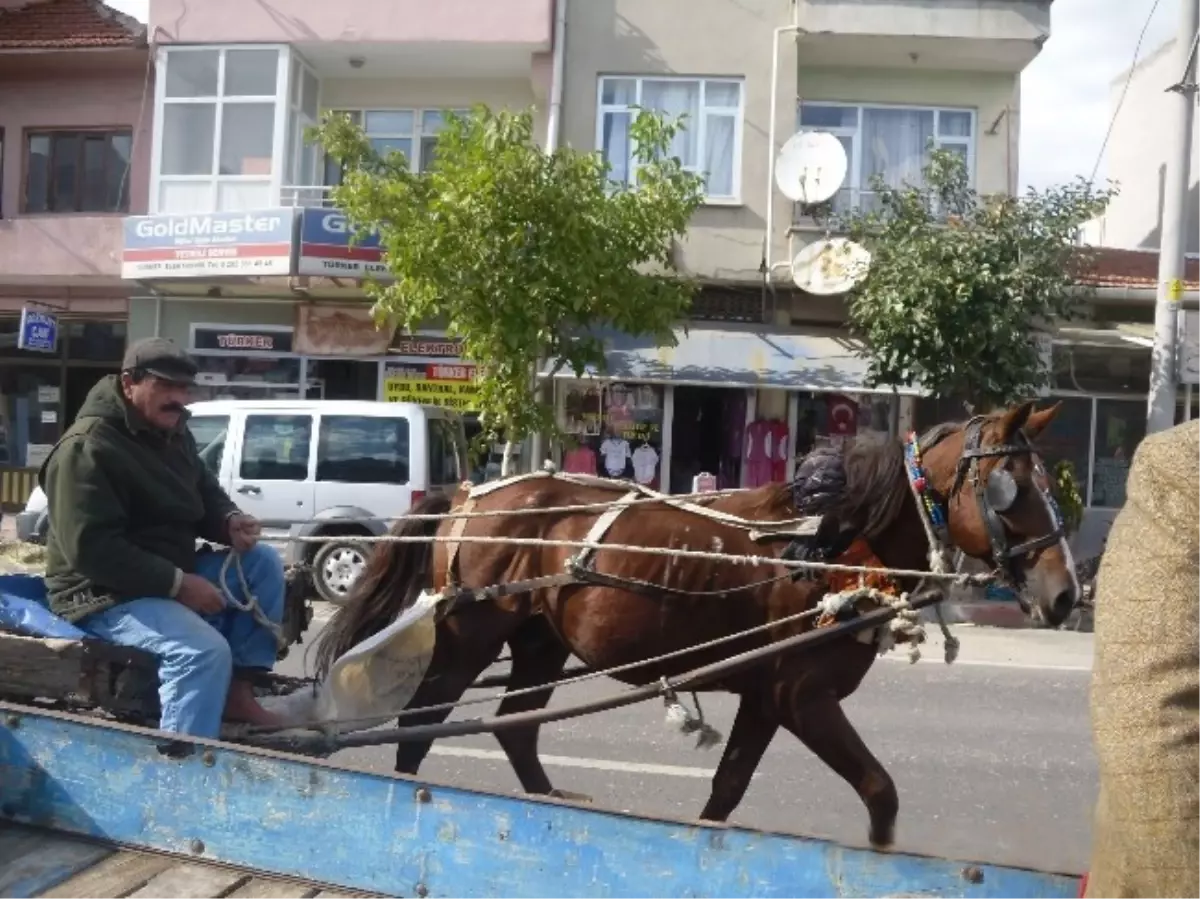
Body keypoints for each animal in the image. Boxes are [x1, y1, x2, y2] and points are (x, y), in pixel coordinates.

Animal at [314, 400, 1075, 849]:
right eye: (1011, 489)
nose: (1067, 593)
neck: (830, 549)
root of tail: (467, 494)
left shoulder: (767, 696)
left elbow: (727, 791)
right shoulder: (802, 697)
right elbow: (880, 791)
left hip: (538, 640)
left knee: (516, 726)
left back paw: (552, 807)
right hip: (471, 633)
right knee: (423, 722)